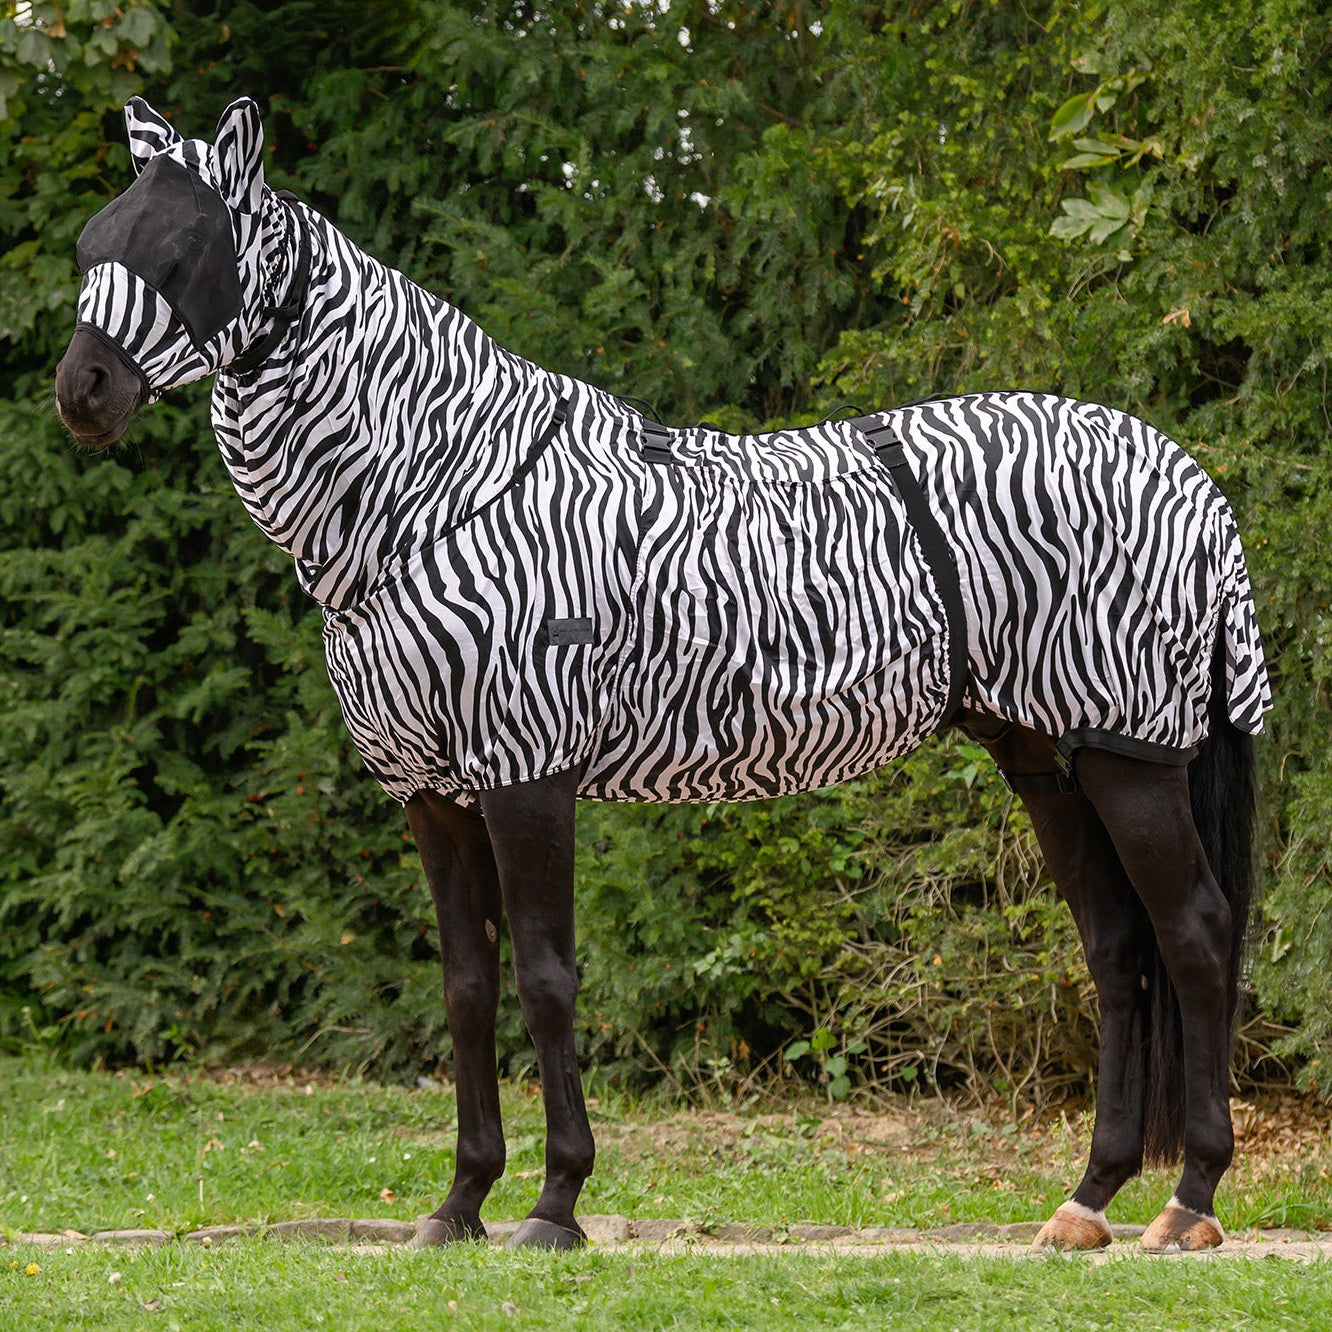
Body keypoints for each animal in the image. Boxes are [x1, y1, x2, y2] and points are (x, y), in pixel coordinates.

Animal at [57, 96, 1270, 1254]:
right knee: (1117, 949)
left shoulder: (527, 772)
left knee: (1197, 936)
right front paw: (460, 1204)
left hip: (1129, 757)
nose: (83, 393)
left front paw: (555, 1205)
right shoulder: (432, 797)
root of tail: (1188, 477)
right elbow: (465, 991)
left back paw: (1189, 1201)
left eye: (183, 251)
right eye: (89, 245)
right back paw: (1089, 1200)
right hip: (1047, 758)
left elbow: (546, 981)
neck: (436, 491)